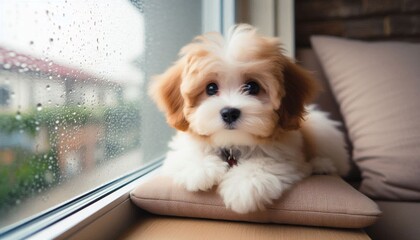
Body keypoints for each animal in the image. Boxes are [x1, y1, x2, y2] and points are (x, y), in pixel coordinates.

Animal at [149, 24, 350, 214]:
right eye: (211, 88)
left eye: (252, 87)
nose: (229, 112)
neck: (234, 144)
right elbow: (188, 153)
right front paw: (200, 168)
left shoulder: (288, 156)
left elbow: (266, 162)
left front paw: (244, 184)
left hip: (322, 129)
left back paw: (321, 164)